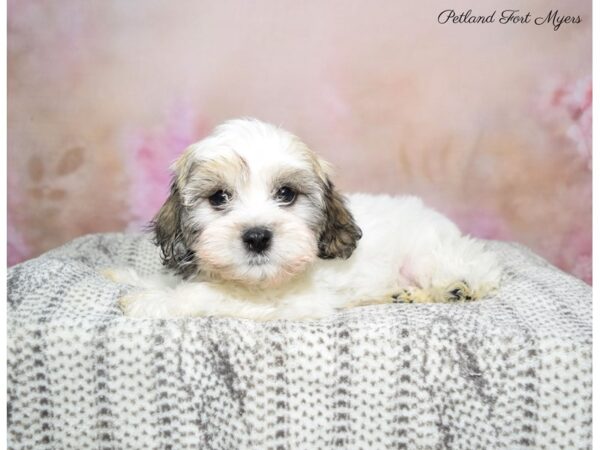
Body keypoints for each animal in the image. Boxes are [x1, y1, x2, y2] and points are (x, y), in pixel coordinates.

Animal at [105, 117, 500, 320]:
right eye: (219, 197)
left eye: (286, 194)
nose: (257, 237)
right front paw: (125, 277)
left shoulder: (285, 302)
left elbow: (208, 295)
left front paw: (151, 302)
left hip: (427, 255)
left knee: (476, 267)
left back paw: (454, 287)